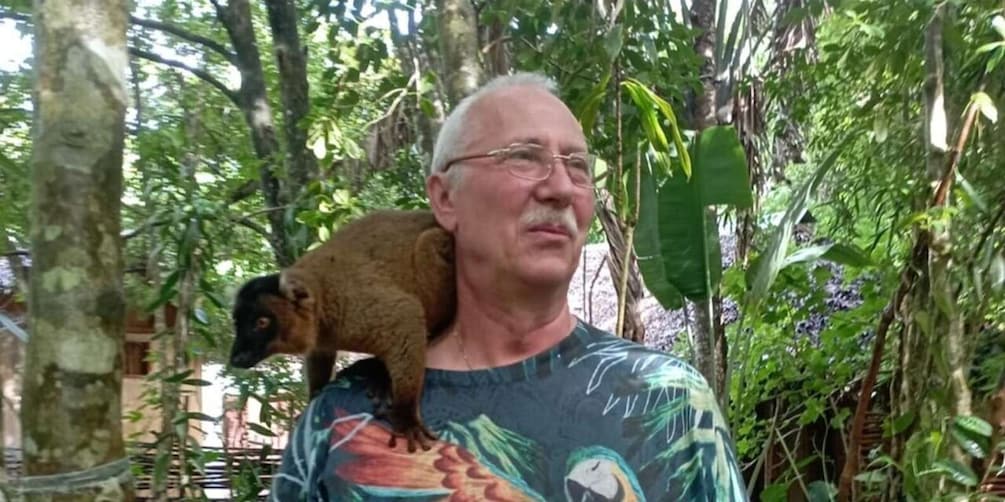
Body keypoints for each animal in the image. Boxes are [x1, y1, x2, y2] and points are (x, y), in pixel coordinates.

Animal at [228, 209, 456, 452]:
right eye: (237, 323)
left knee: (429, 242)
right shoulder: (324, 334)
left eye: (261, 323)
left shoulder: (353, 307)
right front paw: (314, 396)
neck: (322, 302)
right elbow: (320, 354)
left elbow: (406, 314)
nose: (236, 358)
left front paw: (406, 415)